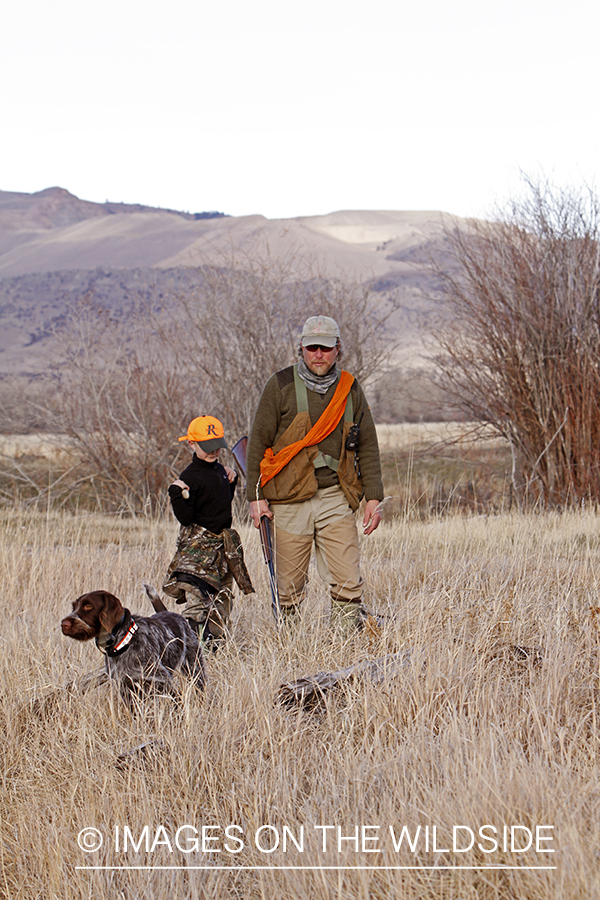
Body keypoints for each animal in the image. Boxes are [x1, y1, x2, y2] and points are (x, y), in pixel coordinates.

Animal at [61, 584, 206, 704]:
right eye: (74, 607)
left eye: (88, 606)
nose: (63, 624)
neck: (123, 643)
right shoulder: (126, 689)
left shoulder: (161, 681)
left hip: (194, 668)